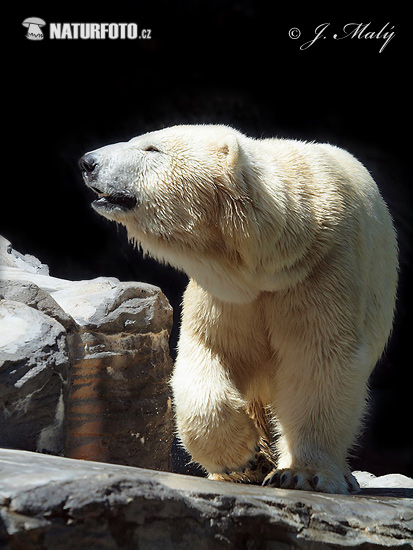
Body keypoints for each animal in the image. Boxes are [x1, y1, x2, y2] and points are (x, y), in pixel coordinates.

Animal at [79, 125, 398, 496]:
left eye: (151, 148)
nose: (87, 161)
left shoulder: (325, 271)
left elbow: (320, 361)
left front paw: (303, 473)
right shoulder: (227, 296)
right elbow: (209, 352)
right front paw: (239, 458)